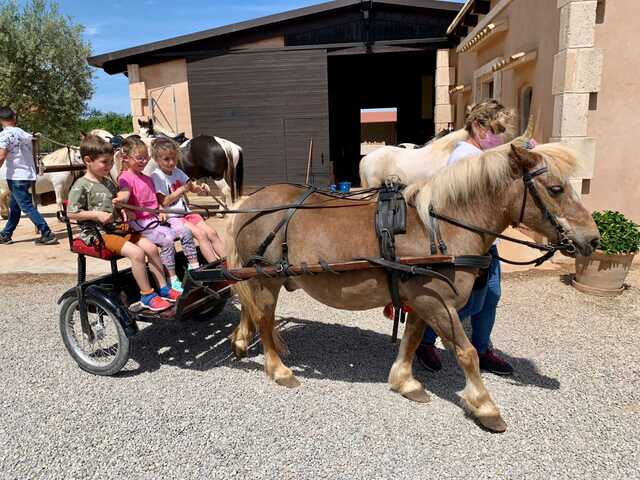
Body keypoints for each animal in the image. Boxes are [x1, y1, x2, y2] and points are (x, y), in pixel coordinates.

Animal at [226, 142, 599, 432]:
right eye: (556, 189)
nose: (593, 239)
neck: (440, 228)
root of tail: (249, 204)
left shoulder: (422, 299)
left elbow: (413, 339)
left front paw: (405, 381)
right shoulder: (438, 302)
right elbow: (467, 353)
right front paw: (485, 406)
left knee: (253, 311)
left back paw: (246, 342)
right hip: (266, 278)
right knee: (263, 317)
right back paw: (278, 369)